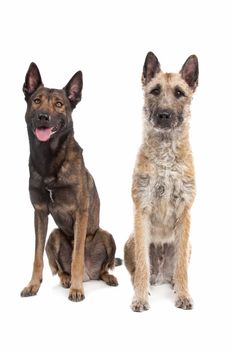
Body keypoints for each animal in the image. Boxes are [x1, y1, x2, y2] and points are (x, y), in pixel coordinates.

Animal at [20, 63, 120, 300]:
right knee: (58, 267)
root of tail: (90, 275)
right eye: (36, 100)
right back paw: (66, 279)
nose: (43, 117)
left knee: (104, 267)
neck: (49, 159)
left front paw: (77, 289)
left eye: (59, 104)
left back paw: (102, 277)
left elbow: (76, 257)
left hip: (106, 235)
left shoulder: (80, 212)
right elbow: (37, 257)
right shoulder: (39, 212)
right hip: (54, 236)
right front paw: (33, 285)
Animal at [124, 51, 198, 312]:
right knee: (139, 270)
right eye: (155, 91)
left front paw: (184, 295)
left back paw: (175, 284)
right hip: (131, 241)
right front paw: (139, 298)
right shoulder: (141, 209)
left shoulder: (185, 212)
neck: (166, 155)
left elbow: (182, 268)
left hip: (187, 244)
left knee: (177, 269)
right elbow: (142, 266)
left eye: (179, 93)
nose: (164, 115)